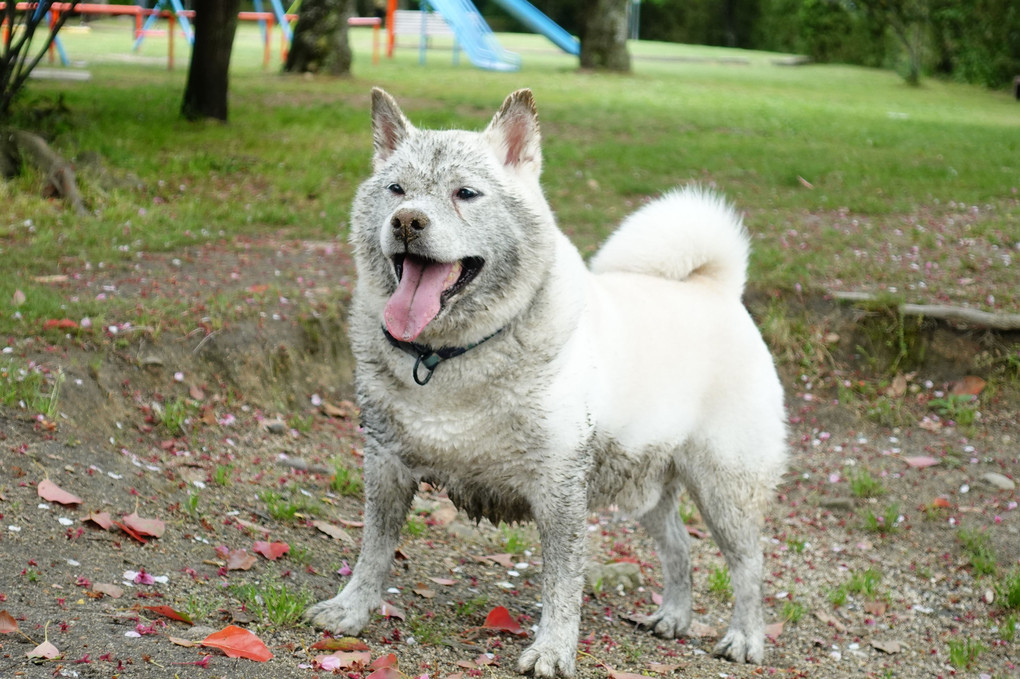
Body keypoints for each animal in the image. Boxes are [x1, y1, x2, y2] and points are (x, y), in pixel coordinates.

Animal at [306, 89, 791, 676]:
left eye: (465, 193)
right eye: (396, 190)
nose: (406, 221)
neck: (447, 356)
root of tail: (717, 288)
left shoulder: (558, 487)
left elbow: (562, 584)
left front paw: (553, 649)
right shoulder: (385, 464)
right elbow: (373, 550)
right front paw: (352, 609)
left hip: (726, 487)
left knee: (748, 565)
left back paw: (745, 637)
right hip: (647, 484)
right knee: (679, 547)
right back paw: (674, 616)